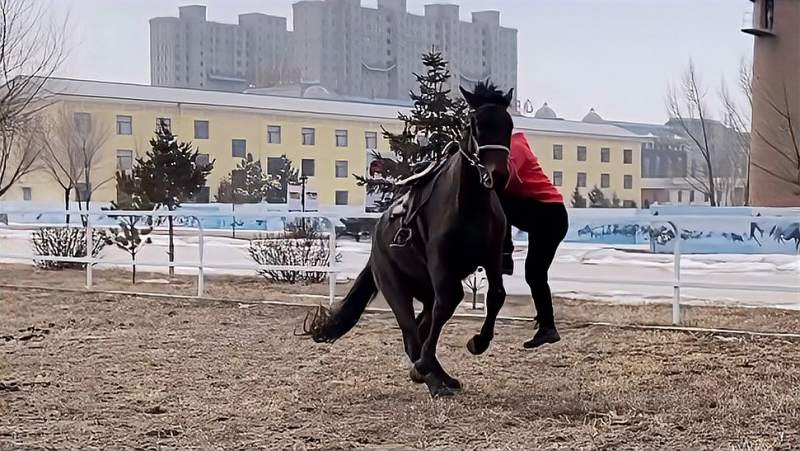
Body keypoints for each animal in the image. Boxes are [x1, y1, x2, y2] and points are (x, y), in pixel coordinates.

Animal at [304, 83, 516, 398]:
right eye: (476, 123)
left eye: (509, 124)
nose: (497, 174)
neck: (469, 206)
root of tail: (375, 248)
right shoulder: (441, 263)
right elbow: (447, 304)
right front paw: (425, 367)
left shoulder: (490, 257)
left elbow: (496, 295)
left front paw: (478, 342)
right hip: (395, 288)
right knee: (412, 333)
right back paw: (431, 377)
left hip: (424, 290)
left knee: (422, 324)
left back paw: (439, 376)